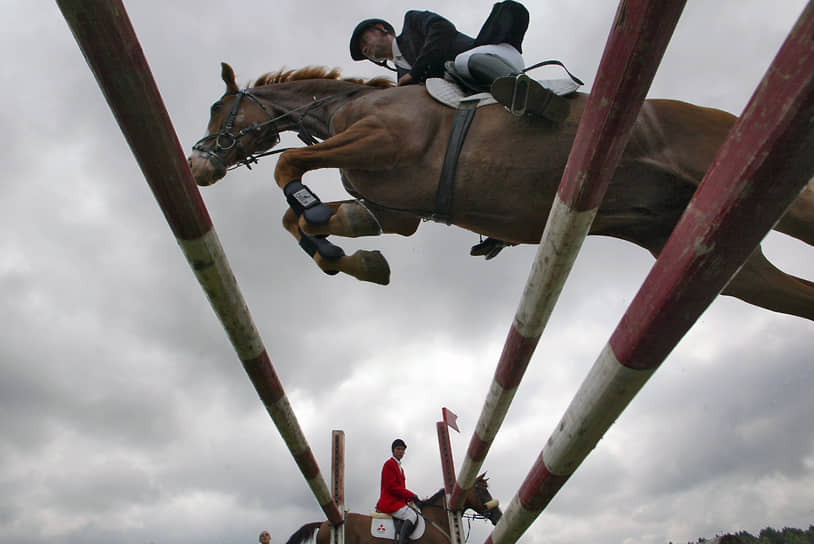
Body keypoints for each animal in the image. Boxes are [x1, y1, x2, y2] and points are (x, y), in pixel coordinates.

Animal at [188, 62, 814, 320]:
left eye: (219, 107)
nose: (197, 166)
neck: (345, 105)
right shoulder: (396, 210)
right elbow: (308, 222)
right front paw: (354, 258)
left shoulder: (381, 139)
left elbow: (290, 171)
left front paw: (322, 225)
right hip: (722, 258)